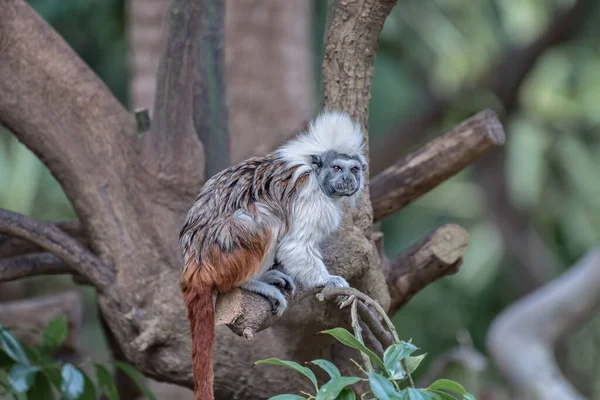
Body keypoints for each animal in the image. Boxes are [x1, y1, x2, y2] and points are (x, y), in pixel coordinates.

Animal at [178, 110, 366, 400]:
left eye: (353, 169)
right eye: (337, 168)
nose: (348, 179)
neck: (317, 176)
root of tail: (194, 262)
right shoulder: (311, 201)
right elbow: (295, 247)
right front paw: (328, 281)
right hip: (225, 252)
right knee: (265, 217)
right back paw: (252, 282)